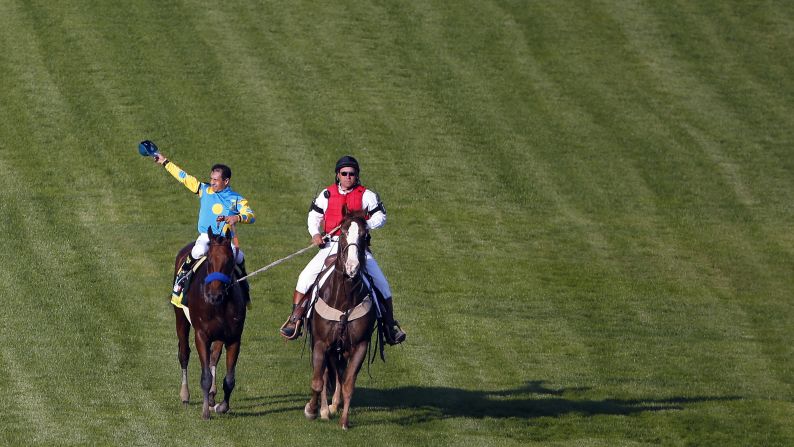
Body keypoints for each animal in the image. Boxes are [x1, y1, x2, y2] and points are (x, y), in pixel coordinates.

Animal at [172, 228, 244, 420]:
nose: (214, 296)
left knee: (214, 356)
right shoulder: (201, 335)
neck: (217, 306)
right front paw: (205, 411)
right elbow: (205, 376)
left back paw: (212, 396)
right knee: (184, 353)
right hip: (180, 318)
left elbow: (229, 378)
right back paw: (185, 395)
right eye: (210, 260)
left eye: (230, 261)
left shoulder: (234, 337)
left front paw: (222, 405)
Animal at [304, 210, 378, 430]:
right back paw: (324, 410)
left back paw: (334, 405)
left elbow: (348, 384)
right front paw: (312, 410)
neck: (344, 299)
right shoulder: (321, 342)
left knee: (339, 373)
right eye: (344, 232)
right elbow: (318, 381)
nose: (352, 267)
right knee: (326, 373)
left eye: (364, 235)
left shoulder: (360, 345)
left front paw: (344, 421)